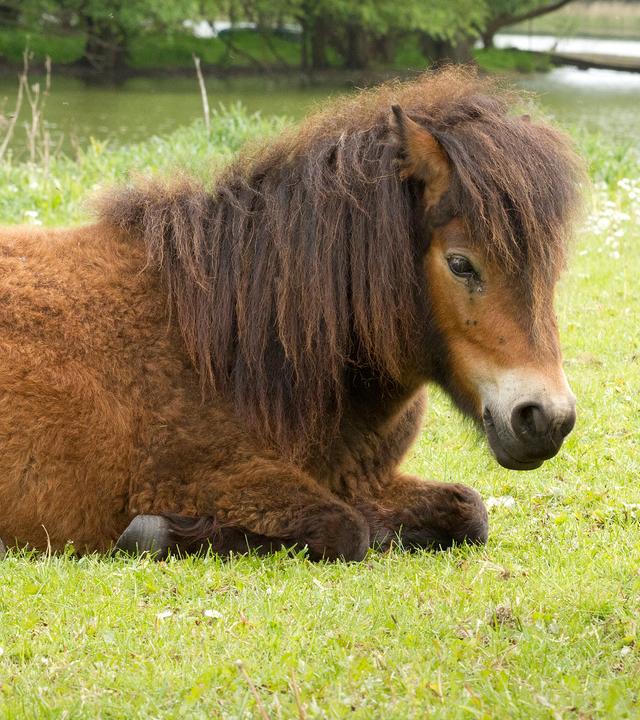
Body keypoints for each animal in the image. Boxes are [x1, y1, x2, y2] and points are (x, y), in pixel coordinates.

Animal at [0, 68, 583, 560]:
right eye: (461, 264)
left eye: (549, 269)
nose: (545, 419)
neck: (240, 349)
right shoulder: (208, 479)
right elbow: (344, 528)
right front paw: (153, 532)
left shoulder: (366, 480)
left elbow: (469, 509)